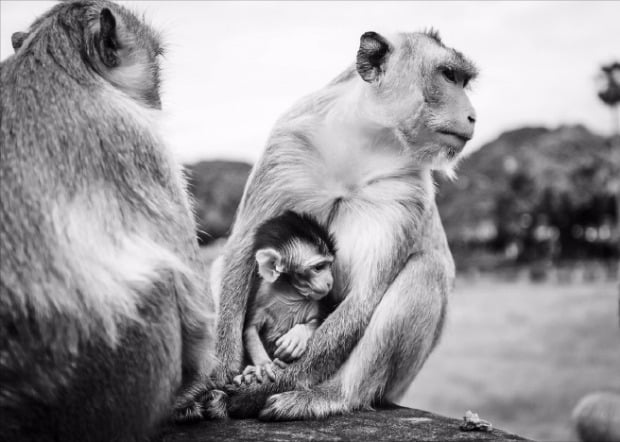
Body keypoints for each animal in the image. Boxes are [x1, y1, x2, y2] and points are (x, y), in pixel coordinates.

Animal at [0, 1, 217, 440]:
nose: (158, 99)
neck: (56, 61)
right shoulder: (143, 145)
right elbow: (195, 307)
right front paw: (198, 389)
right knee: (161, 282)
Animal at [235, 209, 336, 386]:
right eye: (318, 268)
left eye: (329, 266)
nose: (330, 282)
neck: (290, 292)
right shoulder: (261, 295)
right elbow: (249, 329)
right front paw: (262, 365)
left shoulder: (316, 302)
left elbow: (318, 322)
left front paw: (297, 336)